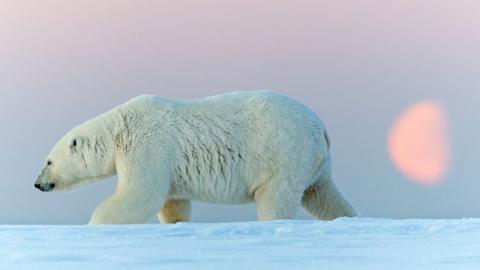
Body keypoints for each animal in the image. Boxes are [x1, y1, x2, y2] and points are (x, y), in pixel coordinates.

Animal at [34, 90, 356, 224]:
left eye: (48, 161)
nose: (38, 183)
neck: (118, 130)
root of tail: (320, 127)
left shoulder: (146, 147)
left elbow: (140, 194)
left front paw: (96, 223)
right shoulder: (165, 164)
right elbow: (172, 202)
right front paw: (176, 224)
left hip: (282, 152)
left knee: (275, 196)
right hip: (315, 163)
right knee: (321, 194)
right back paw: (347, 218)